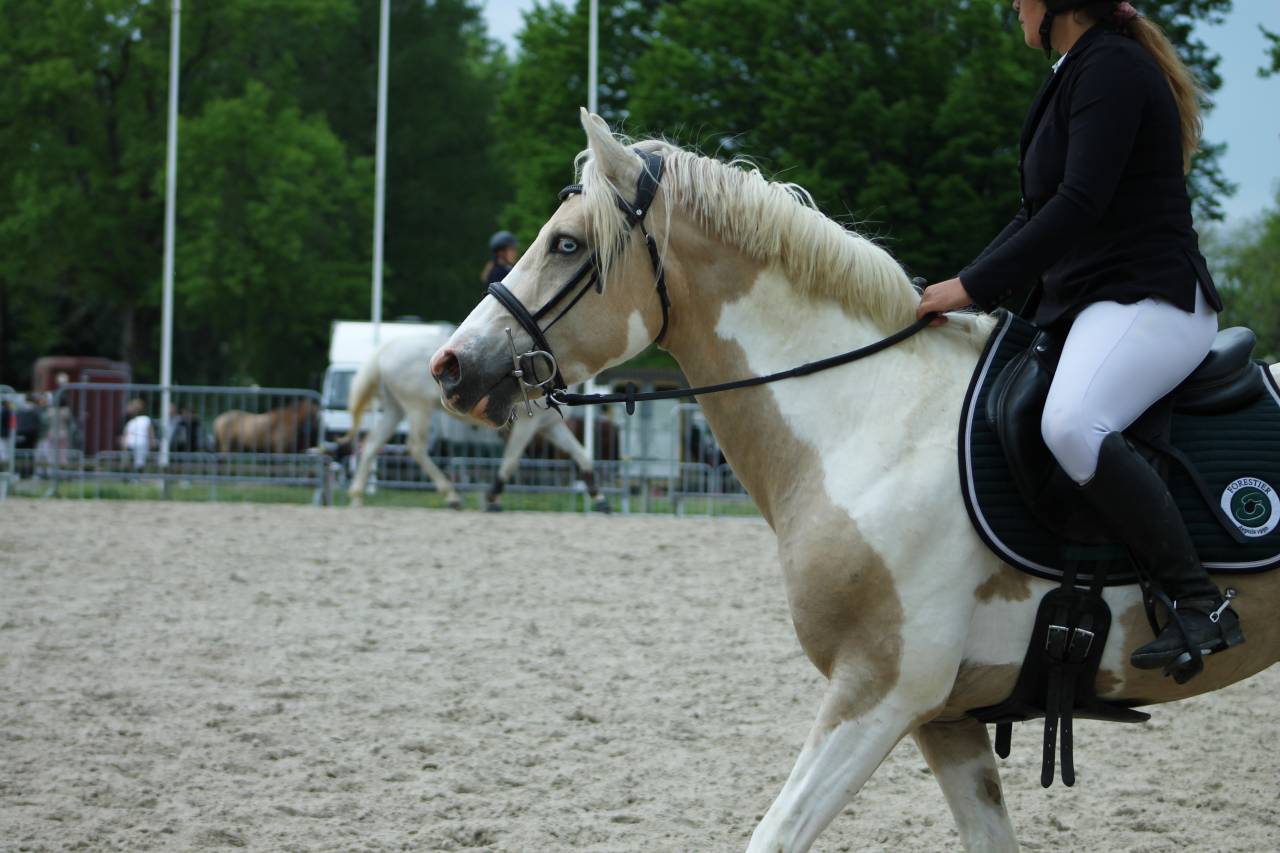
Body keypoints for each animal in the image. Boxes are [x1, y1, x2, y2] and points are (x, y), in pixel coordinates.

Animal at [343, 328, 609, 511]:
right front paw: (492, 498)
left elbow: (581, 455)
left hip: (395, 408)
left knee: (372, 445)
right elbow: (511, 460)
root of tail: (385, 350)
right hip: (417, 407)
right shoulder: (528, 424)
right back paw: (451, 496)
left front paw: (599, 497)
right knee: (415, 447)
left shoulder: (551, 426)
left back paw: (356, 497)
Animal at [428, 110, 1279, 852]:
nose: (450, 365)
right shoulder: (946, 715)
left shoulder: (882, 687)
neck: (874, 420)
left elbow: (774, 835)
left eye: (567, 243)